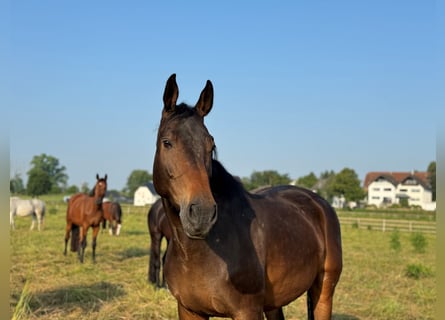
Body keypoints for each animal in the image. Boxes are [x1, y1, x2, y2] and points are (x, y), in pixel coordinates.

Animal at [151, 74, 342, 318]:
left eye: (211, 144)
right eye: (167, 142)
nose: (202, 213)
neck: (196, 253)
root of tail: (318, 203)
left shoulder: (247, 311)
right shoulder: (189, 310)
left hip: (324, 291)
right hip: (274, 302)